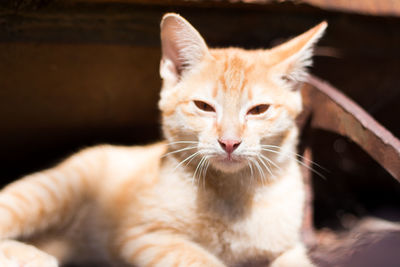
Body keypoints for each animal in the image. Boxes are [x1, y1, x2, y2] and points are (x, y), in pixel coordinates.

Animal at [0, 13, 324, 267]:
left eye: (258, 110)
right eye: (204, 106)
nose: (229, 142)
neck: (233, 193)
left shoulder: (289, 248)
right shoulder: (141, 236)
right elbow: (198, 259)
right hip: (51, 191)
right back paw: (30, 256)